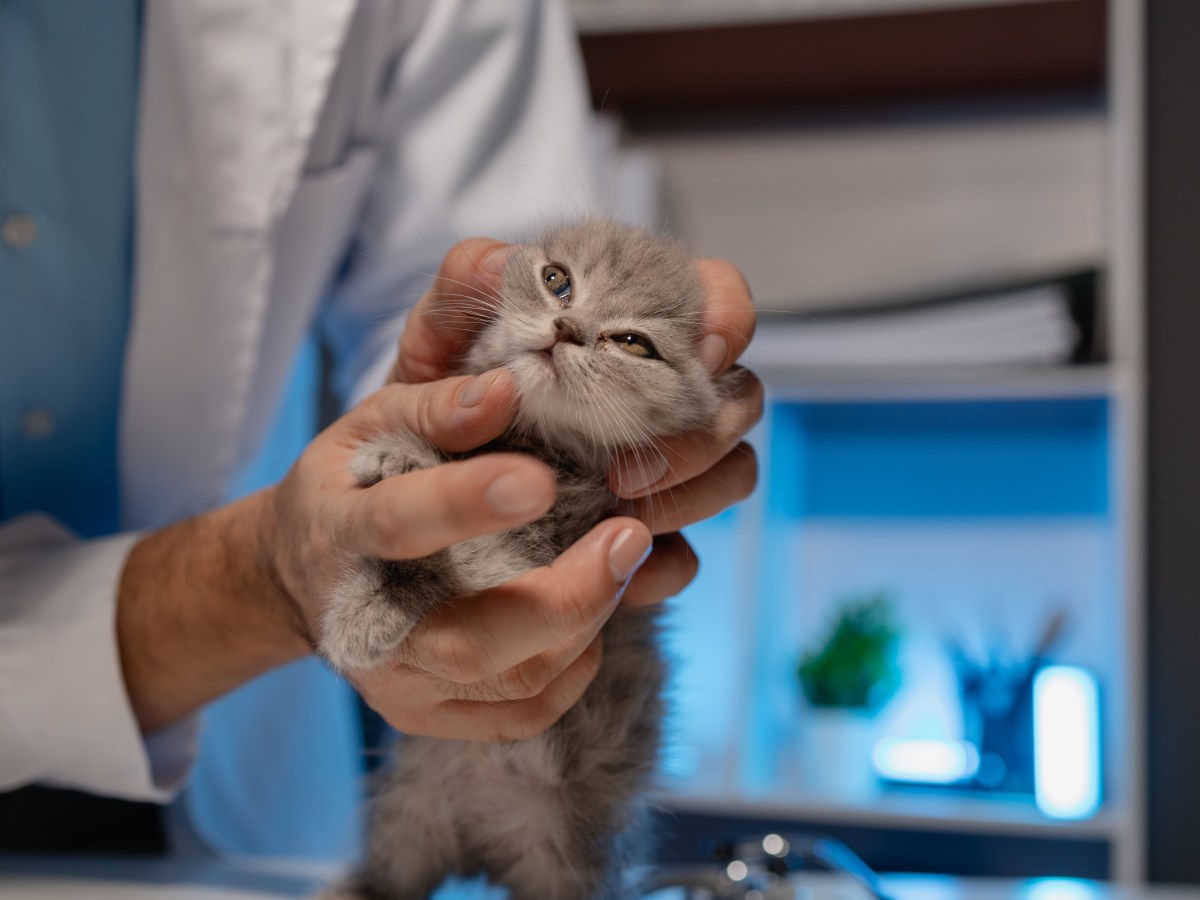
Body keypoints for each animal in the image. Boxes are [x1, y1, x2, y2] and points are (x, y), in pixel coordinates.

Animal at [319, 220, 734, 900]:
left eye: (633, 343)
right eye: (557, 281)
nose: (566, 328)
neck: (532, 442)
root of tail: (483, 844)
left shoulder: (537, 553)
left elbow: (454, 554)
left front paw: (366, 610)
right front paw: (398, 454)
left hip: (570, 850)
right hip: (410, 809)